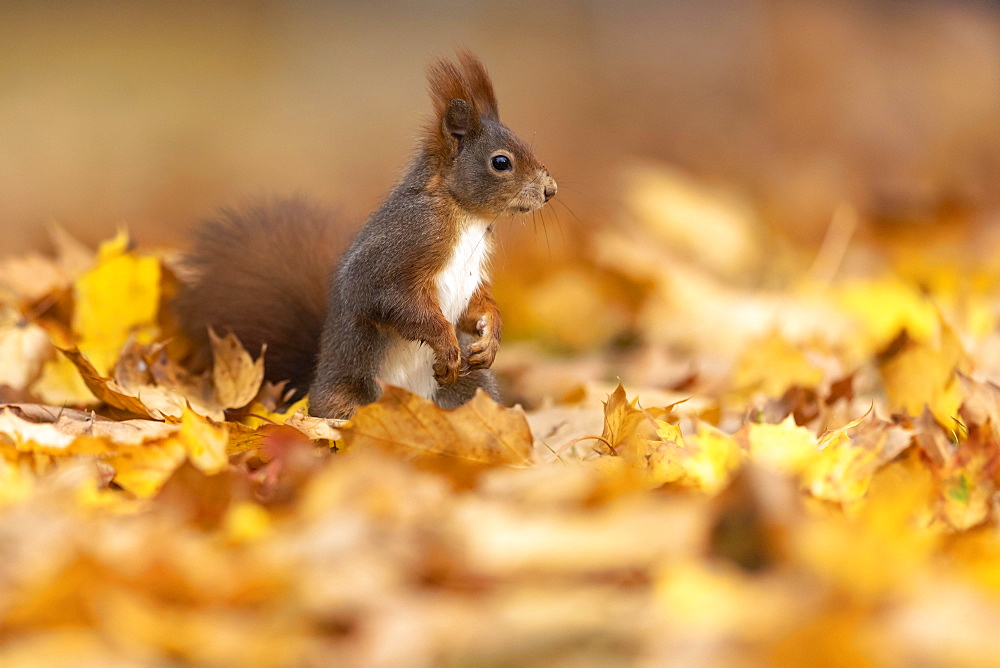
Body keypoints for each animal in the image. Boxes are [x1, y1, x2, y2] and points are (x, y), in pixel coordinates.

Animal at [176, 51, 560, 418]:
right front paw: (447, 344)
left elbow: (478, 305)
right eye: (500, 162)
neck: (466, 218)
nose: (550, 190)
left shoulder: (472, 272)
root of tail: (313, 383)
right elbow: (386, 299)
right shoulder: (401, 245)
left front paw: (490, 337)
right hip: (349, 393)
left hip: (472, 389)